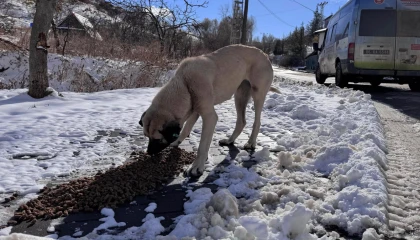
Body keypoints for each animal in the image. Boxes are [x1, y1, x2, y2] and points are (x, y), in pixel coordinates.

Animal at [139, 44, 280, 176]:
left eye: (157, 139)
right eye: (146, 136)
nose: (149, 152)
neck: (184, 83)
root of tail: (265, 55)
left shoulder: (209, 116)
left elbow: (202, 145)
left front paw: (197, 166)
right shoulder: (195, 109)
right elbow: (186, 128)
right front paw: (177, 141)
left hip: (257, 94)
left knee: (257, 121)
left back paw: (251, 142)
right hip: (240, 95)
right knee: (241, 121)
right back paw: (229, 140)